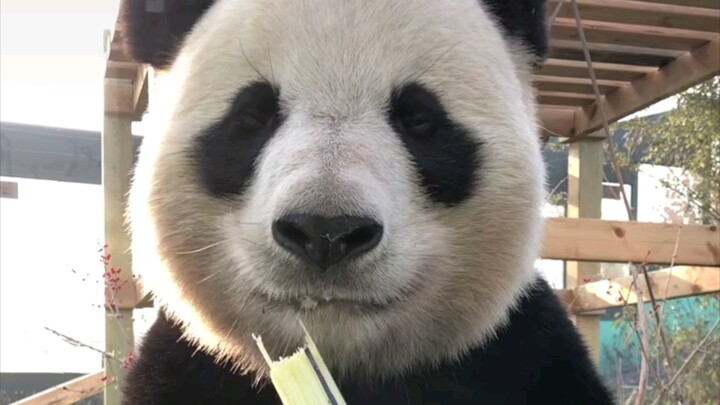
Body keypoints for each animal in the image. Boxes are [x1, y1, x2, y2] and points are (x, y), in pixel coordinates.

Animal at [119, 0, 615, 403]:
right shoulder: (187, 371)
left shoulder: (523, 357)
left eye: (418, 118)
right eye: (253, 115)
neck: (339, 363)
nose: (325, 231)